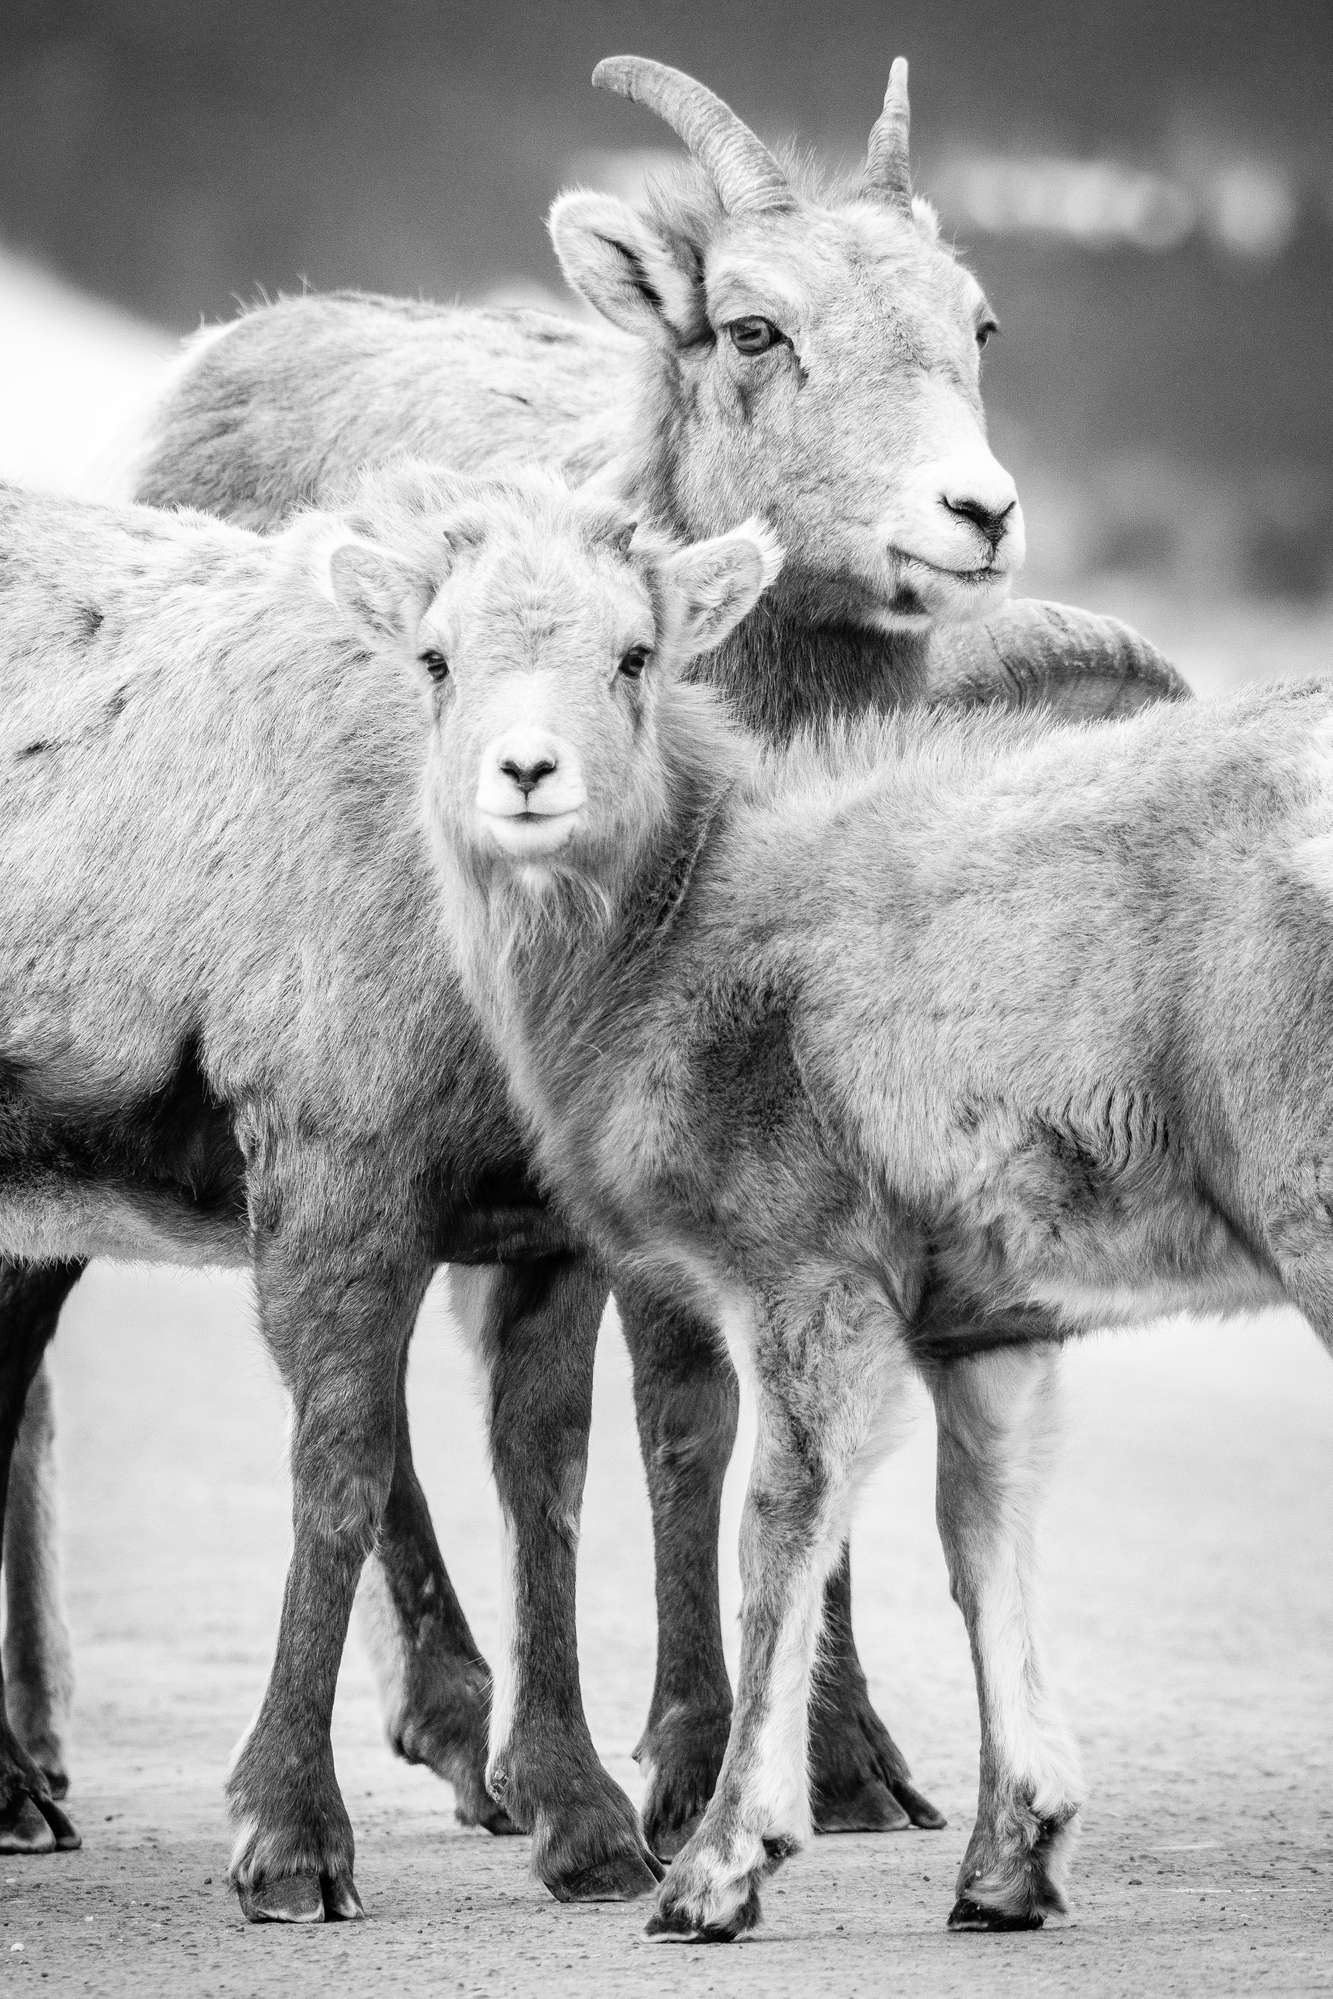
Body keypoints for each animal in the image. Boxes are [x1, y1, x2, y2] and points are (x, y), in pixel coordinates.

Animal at [0, 50, 1191, 1903]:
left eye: (975, 322)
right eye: (752, 328)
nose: (974, 514)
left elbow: (674, 1444)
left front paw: (821, 1775)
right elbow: (644, 1430)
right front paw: (667, 1772)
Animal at [385, 463, 1327, 1935]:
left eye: (635, 654)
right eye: (435, 657)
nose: (527, 773)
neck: (685, 927)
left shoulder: (808, 1290)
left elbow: (777, 1539)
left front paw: (717, 1872)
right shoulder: (988, 1333)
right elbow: (978, 1544)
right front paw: (1006, 1867)